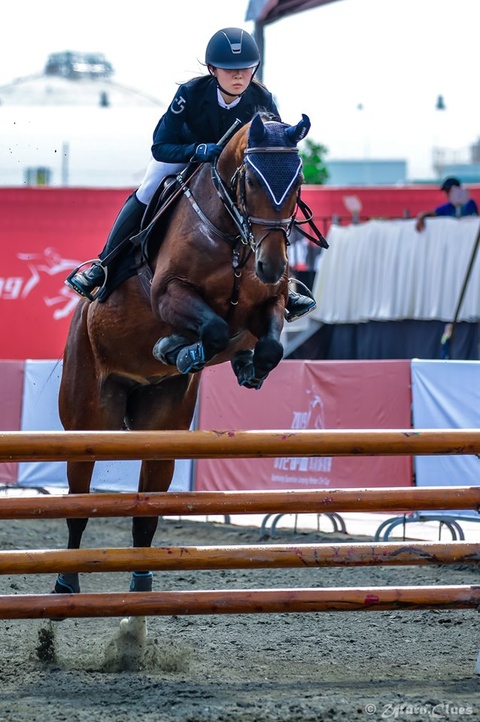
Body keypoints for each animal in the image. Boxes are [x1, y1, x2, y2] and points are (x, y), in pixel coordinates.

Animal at [53, 112, 316, 596]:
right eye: (251, 178)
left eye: (299, 180)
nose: (271, 265)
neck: (233, 235)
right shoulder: (169, 294)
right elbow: (212, 327)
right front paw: (177, 347)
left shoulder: (268, 305)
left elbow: (266, 343)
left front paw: (241, 364)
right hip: (87, 418)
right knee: (78, 504)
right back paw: (65, 582)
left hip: (162, 425)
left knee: (146, 509)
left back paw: (140, 585)